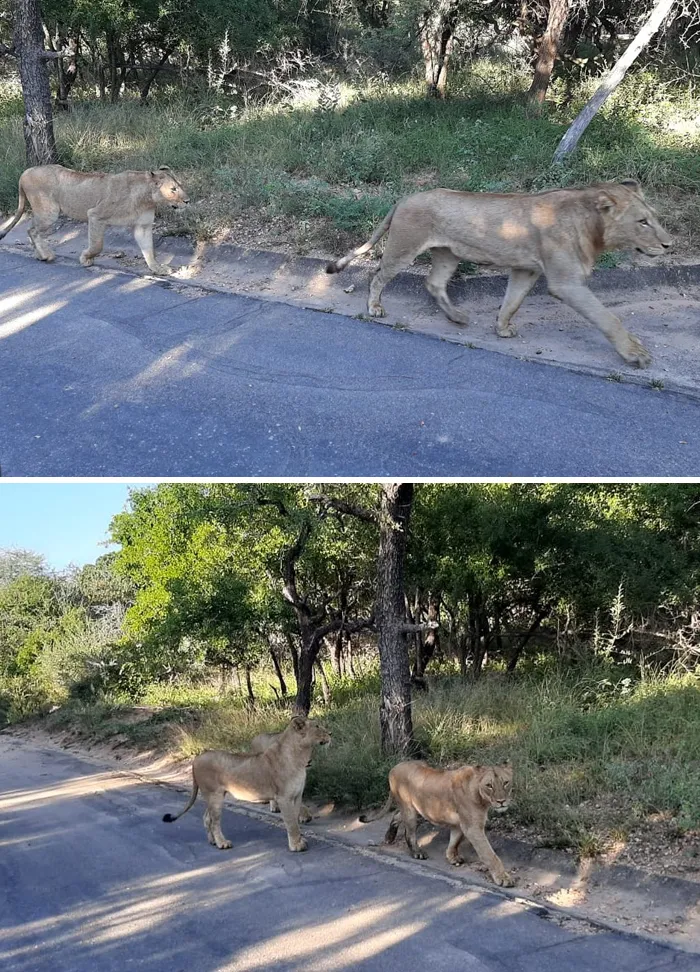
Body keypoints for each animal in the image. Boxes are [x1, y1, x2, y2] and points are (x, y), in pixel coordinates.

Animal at [0, 164, 189, 275]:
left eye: (180, 186)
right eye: (173, 189)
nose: (187, 201)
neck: (147, 198)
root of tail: (26, 171)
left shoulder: (142, 226)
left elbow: (148, 249)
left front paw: (157, 268)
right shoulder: (96, 215)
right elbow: (97, 245)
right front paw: (86, 259)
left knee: (31, 230)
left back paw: (39, 254)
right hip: (49, 211)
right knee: (32, 230)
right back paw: (46, 255)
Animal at [162, 716, 330, 852]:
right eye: (317, 726)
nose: (330, 733)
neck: (300, 756)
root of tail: (196, 759)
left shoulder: (296, 796)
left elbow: (295, 820)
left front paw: (300, 840)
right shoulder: (284, 797)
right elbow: (291, 823)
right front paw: (296, 846)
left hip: (213, 796)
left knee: (207, 818)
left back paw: (212, 841)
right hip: (214, 795)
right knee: (214, 821)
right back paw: (222, 843)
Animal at [326, 181, 672, 368]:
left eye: (654, 218)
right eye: (642, 222)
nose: (669, 244)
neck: (592, 226)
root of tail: (405, 197)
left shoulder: (526, 268)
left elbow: (512, 301)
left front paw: (502, 328)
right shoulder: (567, 283)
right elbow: (608, 318)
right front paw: (635, 354)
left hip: (448, 254)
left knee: (433, 282)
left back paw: (457, 317)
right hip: (404, 247)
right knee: (377, 275)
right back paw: (375, 308)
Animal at [360, 760, 514, 886]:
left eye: (505, 783)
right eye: (489, 785)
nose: (501, 801)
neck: (481, 796)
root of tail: (395, 767)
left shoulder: (460, 824)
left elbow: (455, 841)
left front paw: (452, 857)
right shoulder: (472, 827)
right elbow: (489, 854)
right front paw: (503, 878)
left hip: (421, 810)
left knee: (396, 815)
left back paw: (389, 837)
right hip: (410, 811)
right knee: (409, 832)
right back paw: (417, 852)